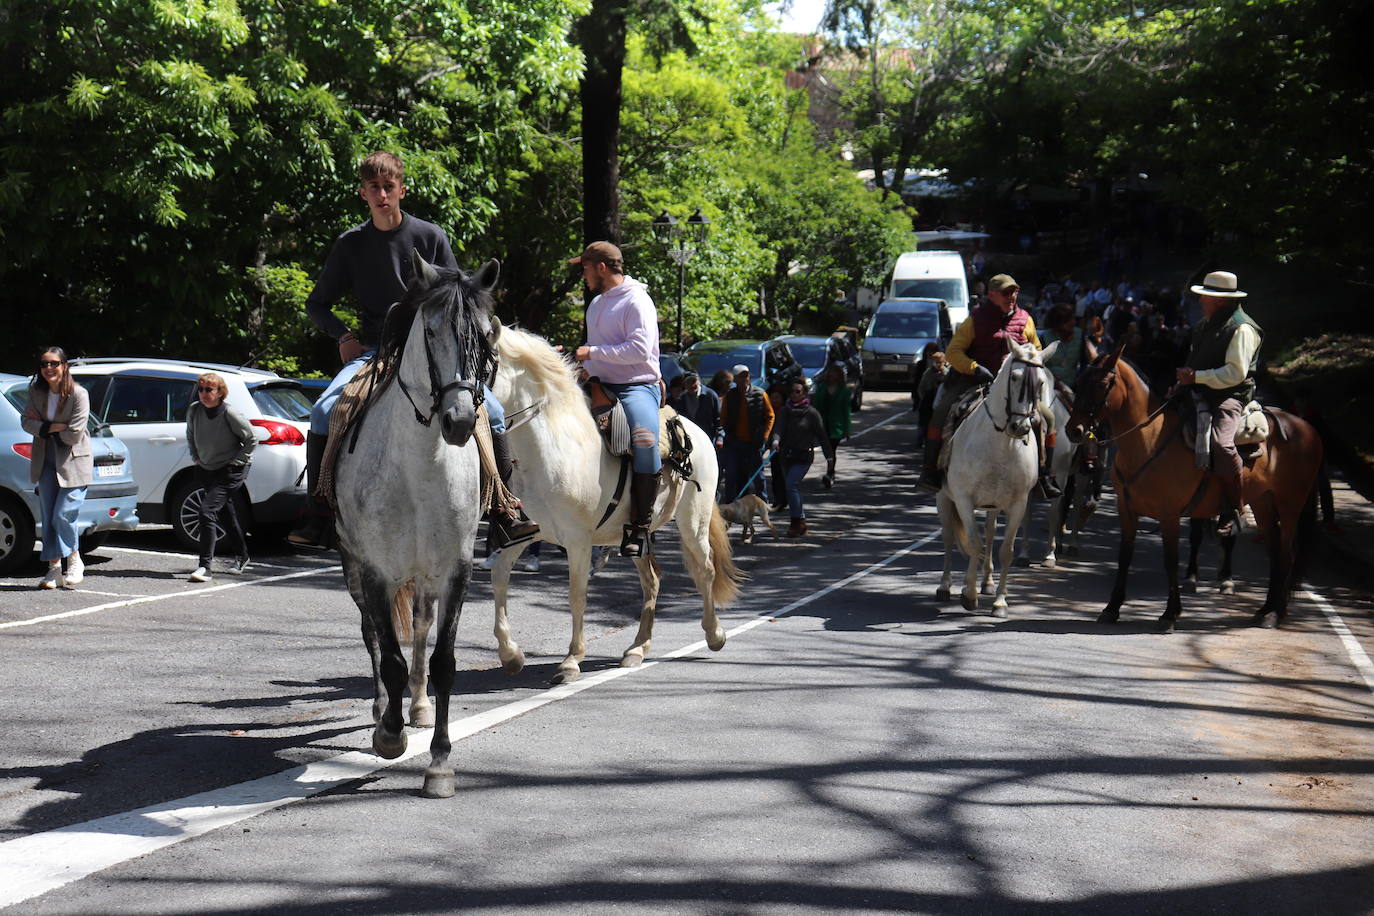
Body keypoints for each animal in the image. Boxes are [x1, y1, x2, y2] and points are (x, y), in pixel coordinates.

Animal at [332, 254, 500, 796]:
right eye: (429, 330)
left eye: (486, 333)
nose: (459, 421)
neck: (421, 467)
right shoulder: (376, 570)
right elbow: (389, 656)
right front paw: (390, 736)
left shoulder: (457, 570)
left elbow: (444, 660)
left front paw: (440, 763)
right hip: (354, 566)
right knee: (371, 632)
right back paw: (382, 710)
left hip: (425, 575)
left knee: (422, 629)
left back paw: (420, 706)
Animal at [483, 325, 741, 683]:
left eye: (480, 363)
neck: (554, 445)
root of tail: (696, 431)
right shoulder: (527, 533)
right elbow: (499, 578)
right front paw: (510, 655)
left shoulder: (578, 541)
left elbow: (577, 594)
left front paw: (571, 660)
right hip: (637, 535)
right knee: (652, 581)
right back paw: (637, 649)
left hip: (693, 522)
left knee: (705, 570)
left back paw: (714, 634)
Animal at [934, 339, 1049, 615]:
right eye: (1015, 377)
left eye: (1041, 382)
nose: (1021, 427)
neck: (1001, 445)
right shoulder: (964, 500)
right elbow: (974, 543)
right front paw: (969, 595)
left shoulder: (1018, 504)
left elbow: (1005, 549)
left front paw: (999, 601)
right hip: (944, 498)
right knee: (949, 536)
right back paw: (945, 587)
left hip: (993, 505)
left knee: (988, 532)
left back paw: (986, 582)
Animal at [1060, 347, 1319, 634]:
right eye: (1080, 381)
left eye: (1102, 384)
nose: (1074, 430)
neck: (1150, 440)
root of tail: (1306, 427)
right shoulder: (1127, 510)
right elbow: (1124, 556)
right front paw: (1112, 608)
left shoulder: (1169, 515)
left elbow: (1171, 560)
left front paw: (1170, 614)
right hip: (1263, 503)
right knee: (1275, 552)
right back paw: (1267, 610)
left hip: (1289, 505)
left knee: (1286, 553)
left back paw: (1274, 613)